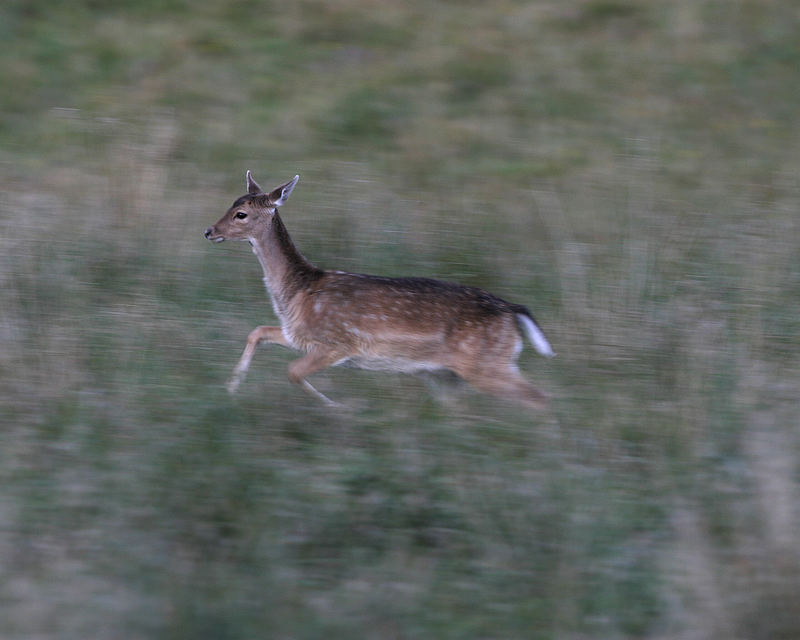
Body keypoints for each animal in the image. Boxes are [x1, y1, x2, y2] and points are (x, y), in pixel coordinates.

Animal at [205, 172, 556, 408]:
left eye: (241, 214)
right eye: (232, 204)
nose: (209, 231)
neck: (297, 292)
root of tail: (513, 311)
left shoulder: (340, 343)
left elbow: (292, 372)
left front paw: (336, 408)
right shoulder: (299, 336)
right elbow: (257, 331)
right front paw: (231, 387)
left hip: (484, 364)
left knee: (540, 397)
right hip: (459, 372)